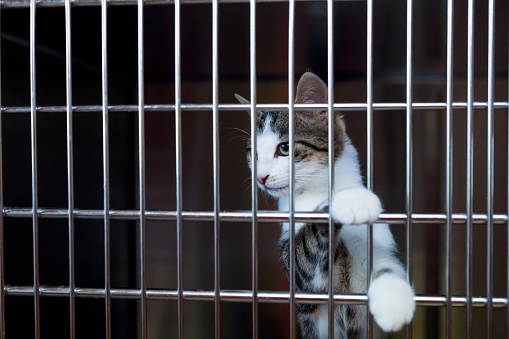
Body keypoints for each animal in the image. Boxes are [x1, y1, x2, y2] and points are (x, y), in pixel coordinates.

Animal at [236, 71, 414, 339]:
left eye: (284, 148)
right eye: (252, 154)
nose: (260, 177)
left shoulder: (379, 244)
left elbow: (388, 269)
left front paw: (393, 303)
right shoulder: (302, 284)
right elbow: (306, 255)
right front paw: (347, 201)